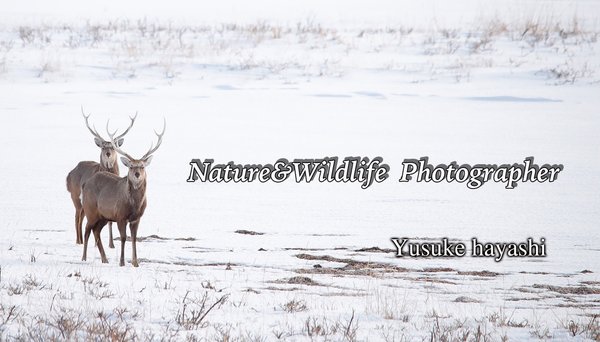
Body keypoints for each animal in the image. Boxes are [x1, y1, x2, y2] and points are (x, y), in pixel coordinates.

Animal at [66, 109, 137, 248]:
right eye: (103, 147)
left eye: (113, 147)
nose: (108, 153)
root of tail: (68, 176)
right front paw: (96, 243)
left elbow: (109, 221)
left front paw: (111, 244)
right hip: (75, 196)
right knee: (77, 217)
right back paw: (79, 241)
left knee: (81, 216)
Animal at [81, 119, 164, 266]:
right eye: (131, 166)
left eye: (142, 166)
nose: (137, 174)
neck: (134, 204)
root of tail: (85, 183)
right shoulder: (120, 215)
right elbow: (124, 238)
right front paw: (122, 262)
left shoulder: (137, 218)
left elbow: (134, 238)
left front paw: (135, 263)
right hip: (90, 210)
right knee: (87, 230)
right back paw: (84, 258)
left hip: (103, 215)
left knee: (96, 231)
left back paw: (105, 259)